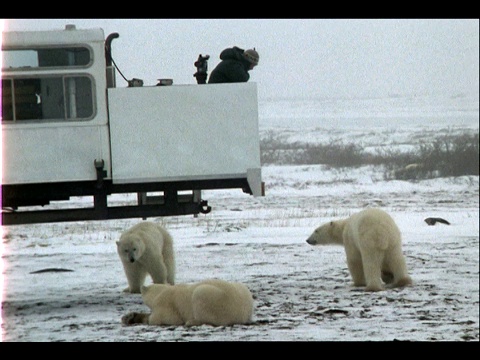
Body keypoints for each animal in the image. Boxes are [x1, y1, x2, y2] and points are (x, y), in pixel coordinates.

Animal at [121, 278, 255, 326]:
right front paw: (128, 317)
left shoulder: (165, 304)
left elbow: (163, 318)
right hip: (242, 289)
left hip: (219, 301)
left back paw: (191, 321)